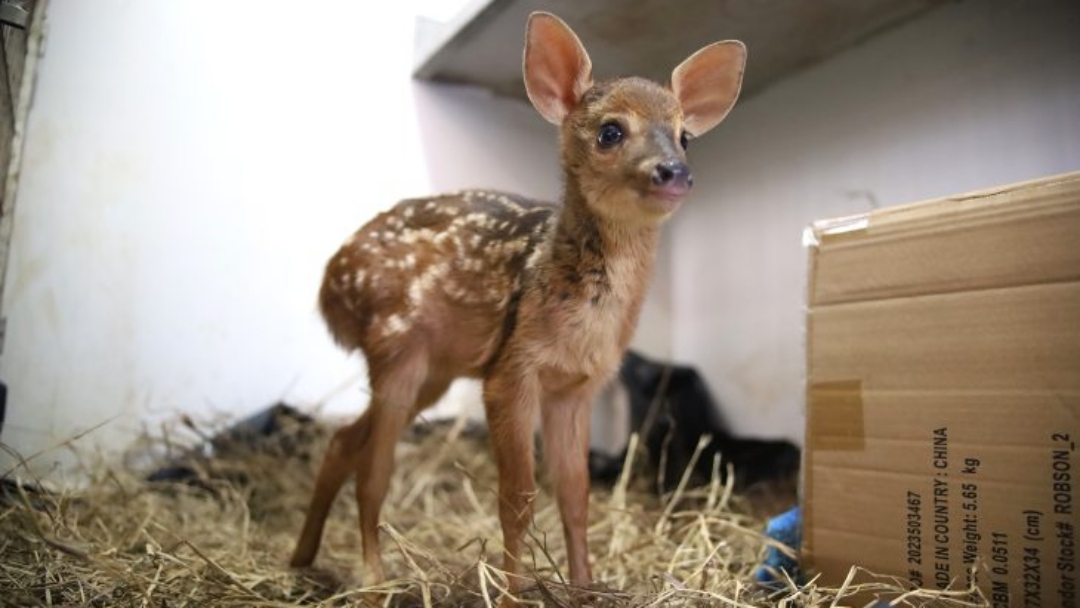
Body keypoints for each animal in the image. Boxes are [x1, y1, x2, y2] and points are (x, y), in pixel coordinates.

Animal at [291, 11, 747, 600]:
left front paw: (584, 588)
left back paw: (302, 558)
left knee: (345, 441)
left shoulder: (576, 387)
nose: (674, 172)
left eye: (685, 136)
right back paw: (374, 579)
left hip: (433, 370)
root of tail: (329, 285)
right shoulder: (511, 372)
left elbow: (575, 495)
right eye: (610, 131)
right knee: (375, 468)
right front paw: (512, 593)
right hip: (396, 344)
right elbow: (518, 498)